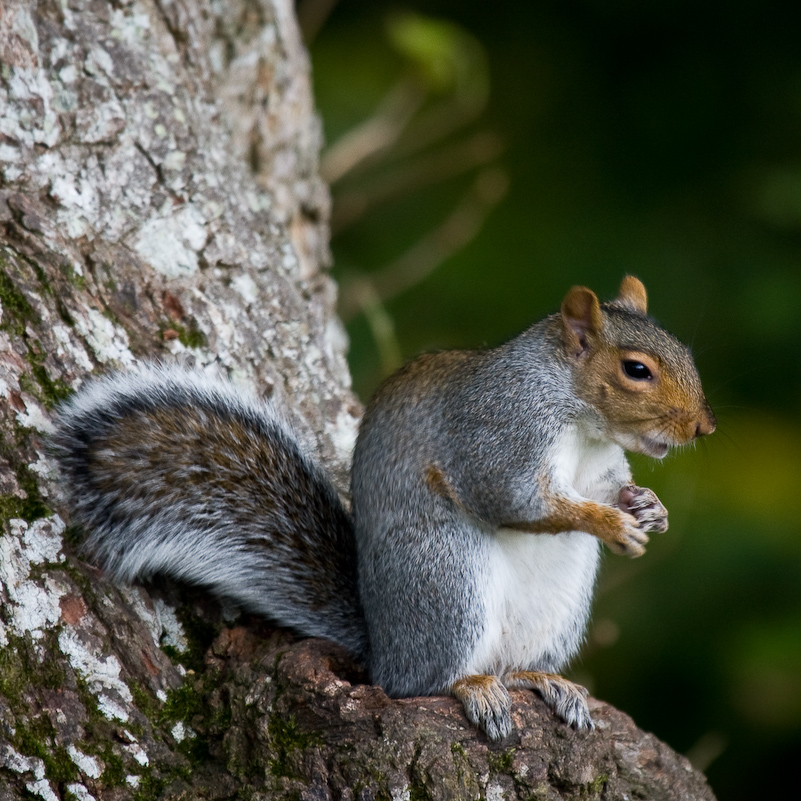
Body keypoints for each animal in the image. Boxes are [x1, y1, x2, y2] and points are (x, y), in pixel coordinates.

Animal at [50, 278, 712, 740]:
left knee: (510, 666)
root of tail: (382, 646)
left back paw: (540, 679)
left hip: (559, 601)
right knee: (421, 684)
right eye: (636, 370)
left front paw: (649, 509)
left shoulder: (598, 469)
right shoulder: (497, 434)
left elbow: (610, 489)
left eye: (685, 350)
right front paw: (610, 523)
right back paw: (472, 686)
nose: (703, 429)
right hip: (445, 576)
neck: (580, 420)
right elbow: (510, 497)